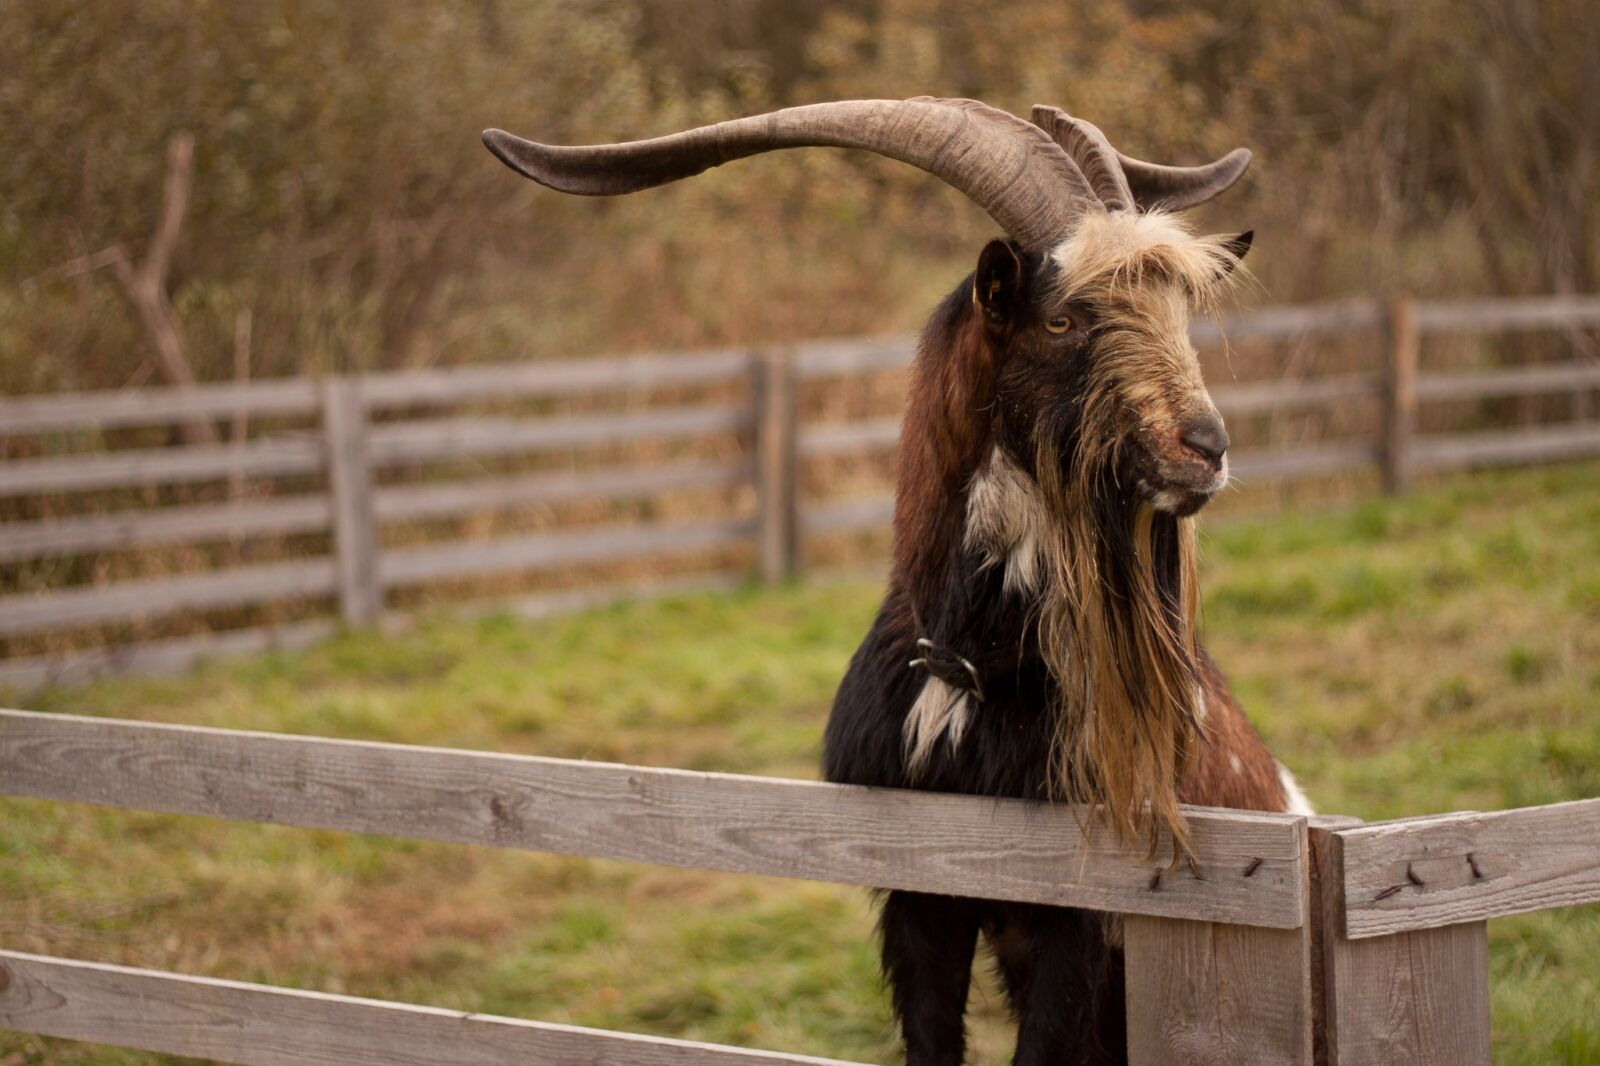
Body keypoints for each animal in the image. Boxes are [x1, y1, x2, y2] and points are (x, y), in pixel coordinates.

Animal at [483, 97, 1312, 1062]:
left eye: (1178, 310)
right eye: (1062, 320)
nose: (1205, 448)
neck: (967, 669)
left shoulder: (1079, 915)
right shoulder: (918, 893)